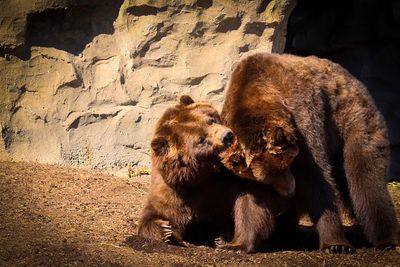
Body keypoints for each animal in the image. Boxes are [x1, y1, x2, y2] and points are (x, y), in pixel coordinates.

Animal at [138, 96, 288, 253]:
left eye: (210, 120)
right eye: (201, 140)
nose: (227, 136)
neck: (202, 175)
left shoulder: (234, 178)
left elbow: (251, 203)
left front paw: (235, 245)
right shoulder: (174, 192)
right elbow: (156, 214)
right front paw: (165, 230)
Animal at [220, 52, 398, 253]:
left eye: (287, 163)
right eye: (269, 178)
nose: (290, 191)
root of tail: (352, 79)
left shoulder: (302, 120)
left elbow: (316, 178)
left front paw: (336, 244)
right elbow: (252, 196)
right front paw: (236, 244)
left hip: (353, 121)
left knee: (365, 177)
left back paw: (386, 240)